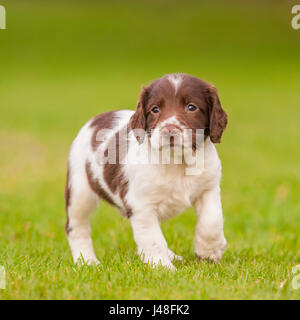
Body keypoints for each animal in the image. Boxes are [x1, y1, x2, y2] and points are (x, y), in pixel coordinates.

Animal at [65, 73, 227, 270]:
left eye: (191, 107)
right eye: (155, 109)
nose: (169, 131)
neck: (177, 162)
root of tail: (95, 119)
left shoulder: (209, 188)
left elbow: (212, 221)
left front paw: (209, 252)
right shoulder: (141, 204)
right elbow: (153, 238)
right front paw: (162, 267)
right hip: (79, 190)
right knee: (76, 226)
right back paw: (87, 261)